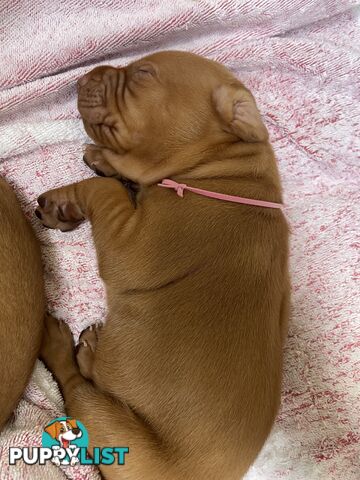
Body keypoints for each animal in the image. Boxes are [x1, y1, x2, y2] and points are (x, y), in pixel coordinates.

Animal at [35, 52, 290, 480]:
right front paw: (100, 161)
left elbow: (106, 189)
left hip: (119, 432)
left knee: (77, 387)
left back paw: (68, 345)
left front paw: (66, 198)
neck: (222, 169)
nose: (81, 78)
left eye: (143, 73)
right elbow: (117, 179)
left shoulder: (132, 246)